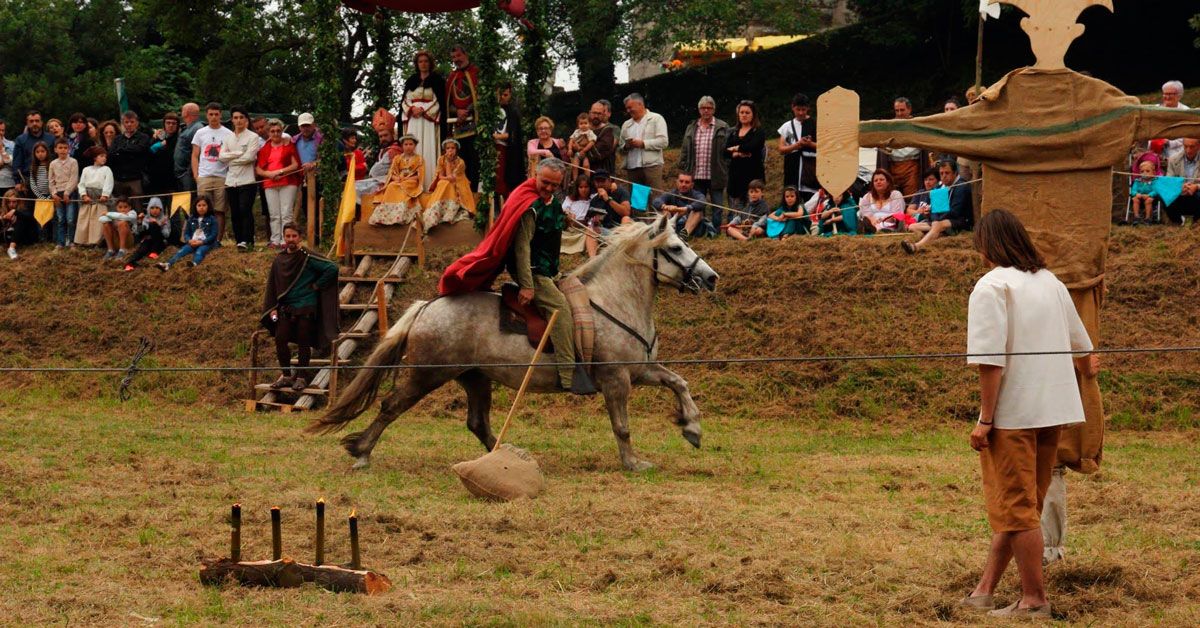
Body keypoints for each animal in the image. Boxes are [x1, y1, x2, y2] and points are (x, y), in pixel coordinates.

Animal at [312, 214, 720, 470]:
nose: (711, 278)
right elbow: (622, 425)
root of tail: (428, 305)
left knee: (477, 423)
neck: (613, 300)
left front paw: (692, 427)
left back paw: (502, 458)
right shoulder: (616, 379)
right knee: (390, 406)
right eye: (676, 248)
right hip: (426, 374)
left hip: (475, 378)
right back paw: (362, 451)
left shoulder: (641, 370)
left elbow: (679, 383)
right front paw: (634, 462)